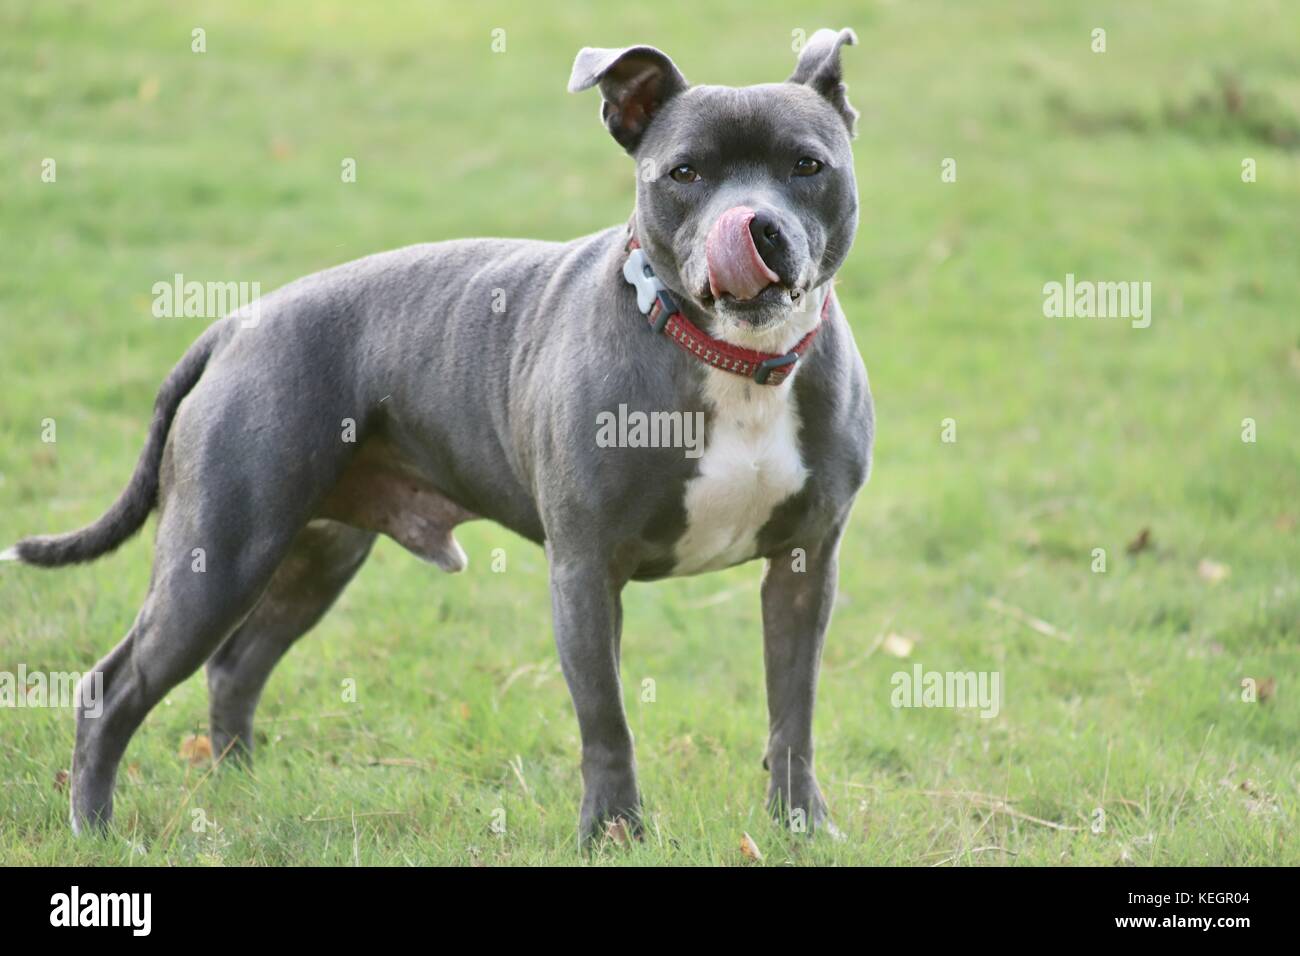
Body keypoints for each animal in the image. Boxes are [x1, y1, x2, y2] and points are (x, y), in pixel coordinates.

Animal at [2, 27, 873, 842]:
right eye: (684, 174)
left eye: (807, 166)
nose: (752, 226)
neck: (734, 362)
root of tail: (236, 324)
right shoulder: (586, 571)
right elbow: (606, 720)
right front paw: (613, 833)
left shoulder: (805, 568)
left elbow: (792, 714)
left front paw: (802, 825)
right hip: (216, 556)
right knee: (113, 687)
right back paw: (93, 827)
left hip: (311, 554)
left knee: (236, 666)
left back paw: (236, 787)